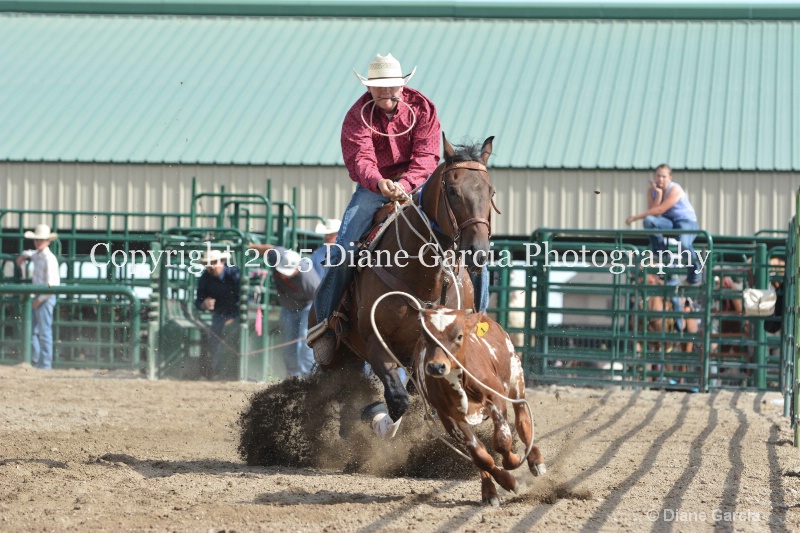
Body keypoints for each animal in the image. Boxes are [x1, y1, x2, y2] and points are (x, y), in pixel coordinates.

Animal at [310, 133, 496, 436]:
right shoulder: (375, 342)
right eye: (452, 191)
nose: (477, 251)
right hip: (334, 357)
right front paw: (377, 421)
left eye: (490, 192)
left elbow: (414, 396)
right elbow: (399, 400)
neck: (425, 281)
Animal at [412, 306, 544, 504]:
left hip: (516, 378)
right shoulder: (450, 419)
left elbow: (502, 442)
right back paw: (489, 492)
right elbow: (481, 457)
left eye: (459, 336)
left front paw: (514, 460)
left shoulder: (496, 399)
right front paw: (508, 482)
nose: (436, 367)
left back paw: (535, 460)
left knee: (523, 421)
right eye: (426, 336)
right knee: (480, 453)